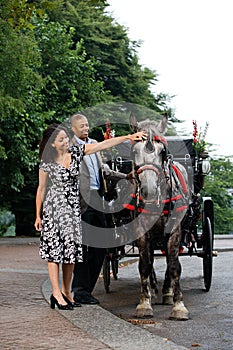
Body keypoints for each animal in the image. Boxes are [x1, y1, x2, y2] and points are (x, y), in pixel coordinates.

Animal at [128, 114, 190, 320]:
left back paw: (167, 293)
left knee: (171, 258)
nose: (149, 190)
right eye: (134, 150)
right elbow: (145, 265)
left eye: (162, 151)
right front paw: (144, 303)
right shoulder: (141, 232)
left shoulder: (175, 231)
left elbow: (174, 265)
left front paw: (178, 305)